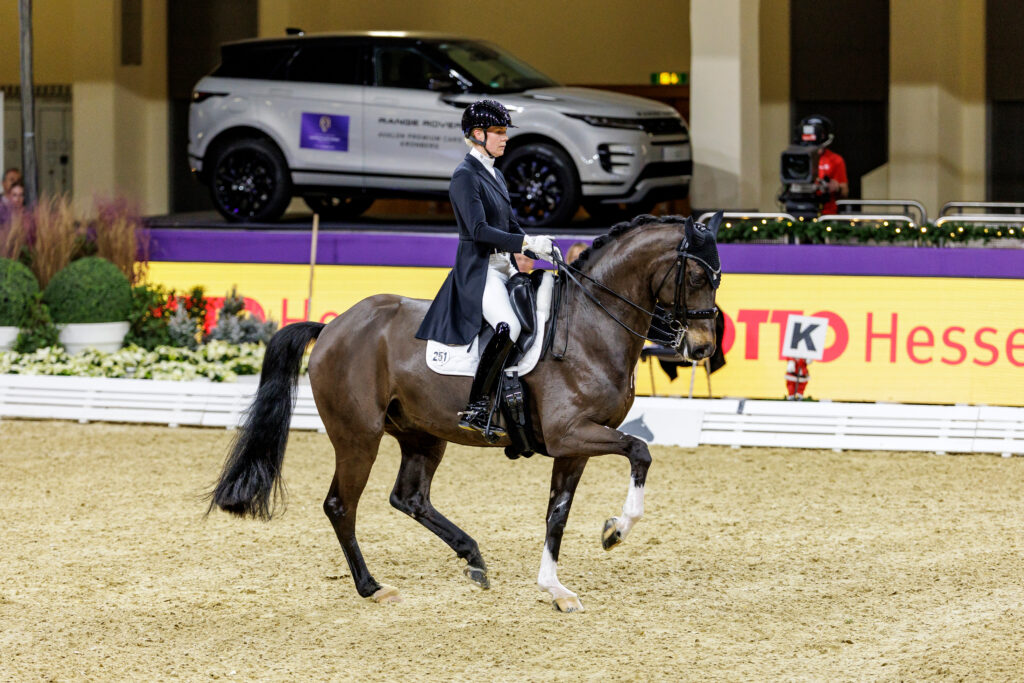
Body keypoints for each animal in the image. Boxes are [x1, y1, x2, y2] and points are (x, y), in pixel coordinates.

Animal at [210, 213, 722, 613]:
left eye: (717, 279)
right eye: (698, 278)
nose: (701, 349)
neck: (588, 327)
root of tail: (333, 326)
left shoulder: (574, 445)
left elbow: (557, 514)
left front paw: (555, 589)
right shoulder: (571, 433)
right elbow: (640, 451)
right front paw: (616, 530)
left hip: (422, 434)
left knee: (409, 497)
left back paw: (472, 557)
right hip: (358, 436)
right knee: (341, 505)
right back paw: (373, 587)